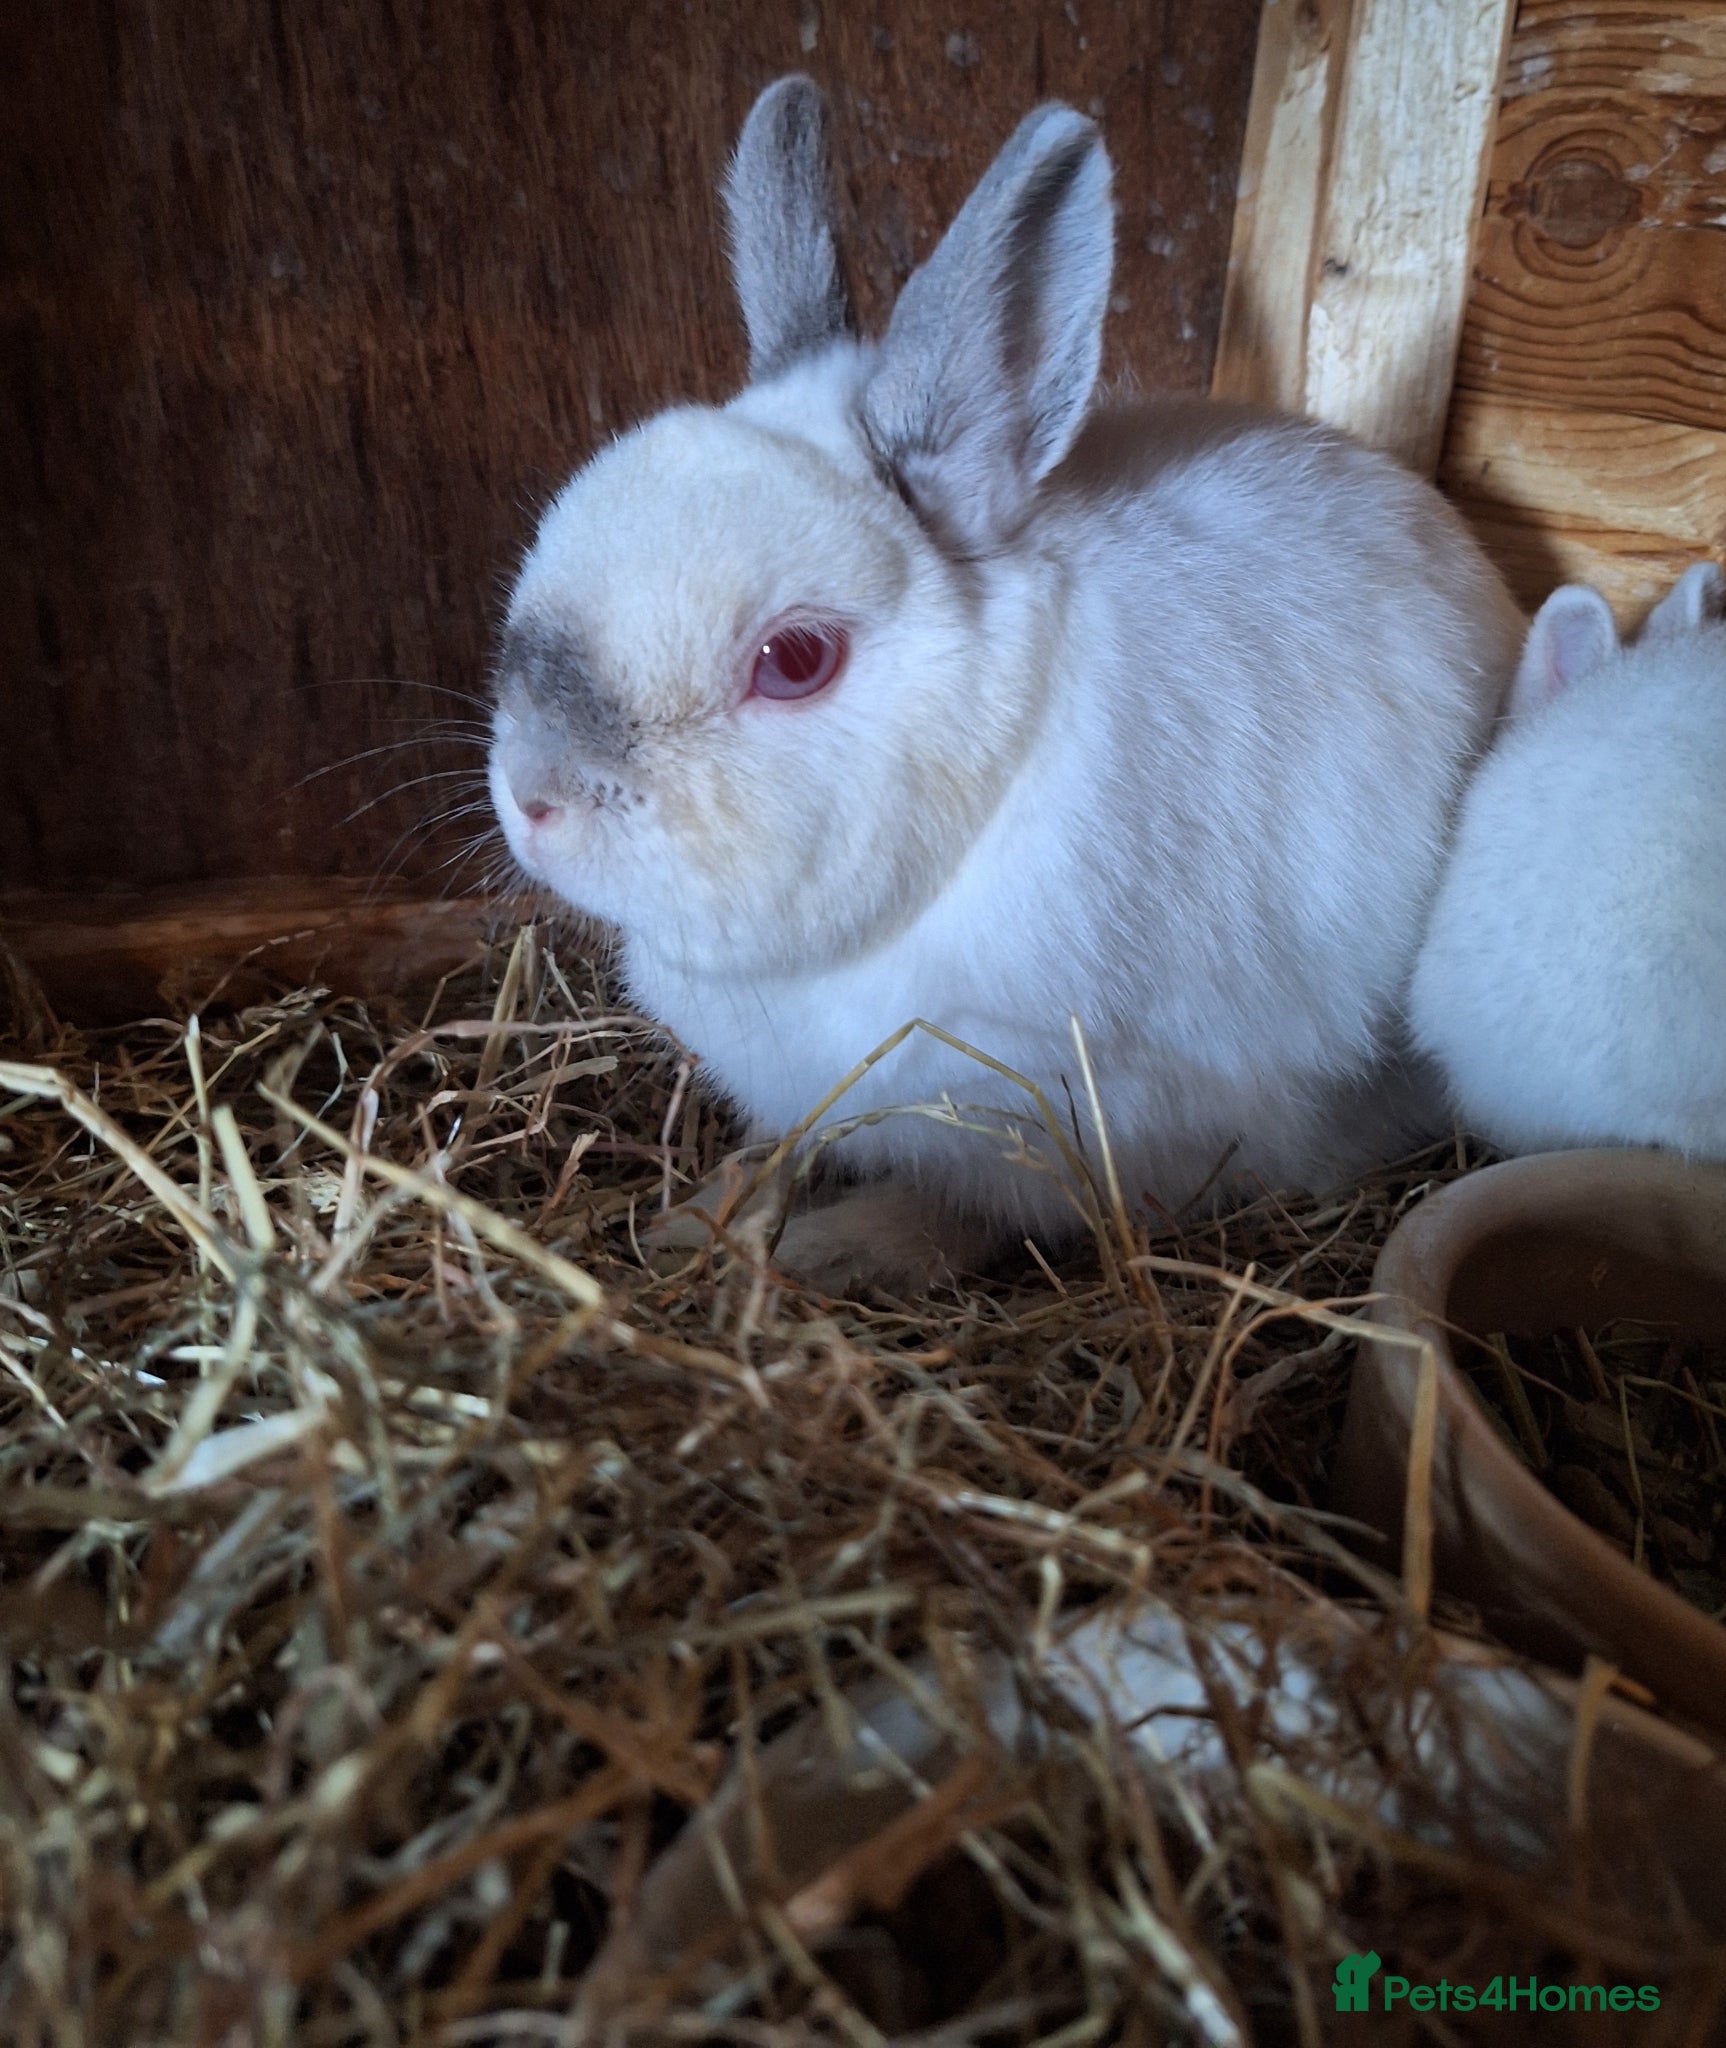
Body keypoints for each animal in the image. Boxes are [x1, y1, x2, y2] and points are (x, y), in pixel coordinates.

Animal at [487, 76, 1524, 1291]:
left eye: (794, 660)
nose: (533, 800)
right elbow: (785, 1150)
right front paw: (698, 1219)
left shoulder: (1067, 1128)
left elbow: (962, 1213)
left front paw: (836, 1248)